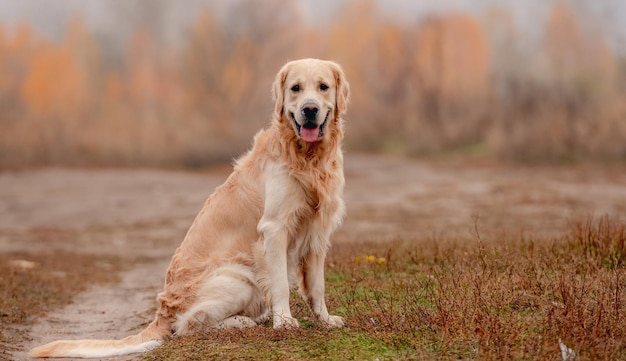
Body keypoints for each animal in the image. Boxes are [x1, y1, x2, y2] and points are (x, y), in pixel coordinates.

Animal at [29, 57, 348, 356]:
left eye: (323, 87)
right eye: (295, 88)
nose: (309, 109)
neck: (307, 158)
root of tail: (162, 311)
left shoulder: (318, 230)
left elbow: (317, 285)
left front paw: (325, 320)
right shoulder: (275, 227)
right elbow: (281, 282)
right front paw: (284, 321)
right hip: (239, 277)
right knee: (189, 325)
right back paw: (242, 322)